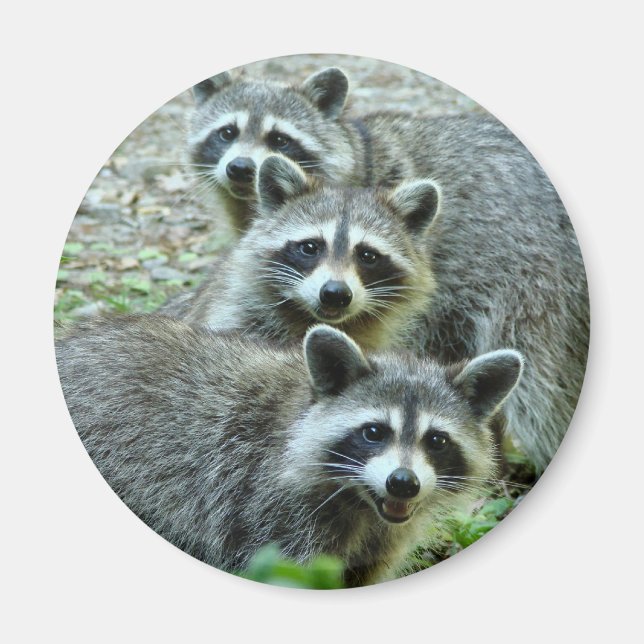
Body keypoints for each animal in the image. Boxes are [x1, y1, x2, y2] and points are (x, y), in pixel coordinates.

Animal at [56, 315, 523, 587]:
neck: (360, 503)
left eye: (436, 440)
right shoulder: (267, 508)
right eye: (374, 432)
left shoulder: (380, 539)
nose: (403, 484)